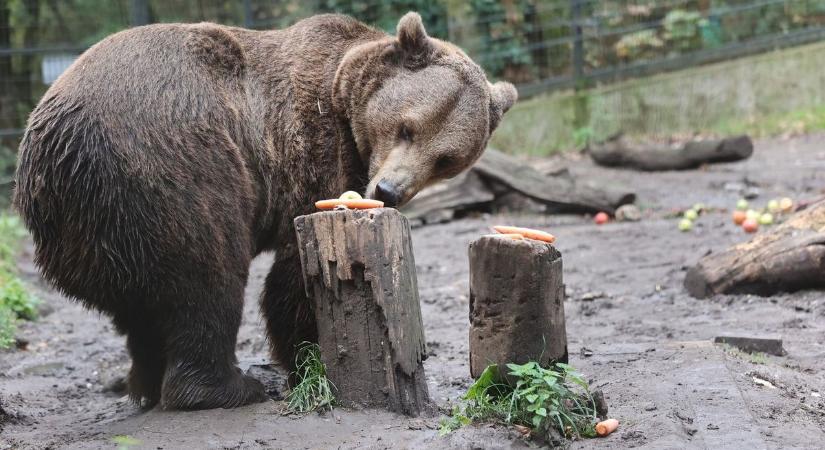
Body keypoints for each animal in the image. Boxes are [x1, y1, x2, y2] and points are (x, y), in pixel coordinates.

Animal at [12, 12, 516, 410]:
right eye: (407, 127)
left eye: (446, 158)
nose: (389, 190)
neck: (343, 94)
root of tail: (54, 146)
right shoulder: (310, 148)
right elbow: (293, 275)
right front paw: (310, 360)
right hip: (174, 163)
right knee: (206, 276)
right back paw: (224, 388)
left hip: (93, 227)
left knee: (143, 305)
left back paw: (147, 383)